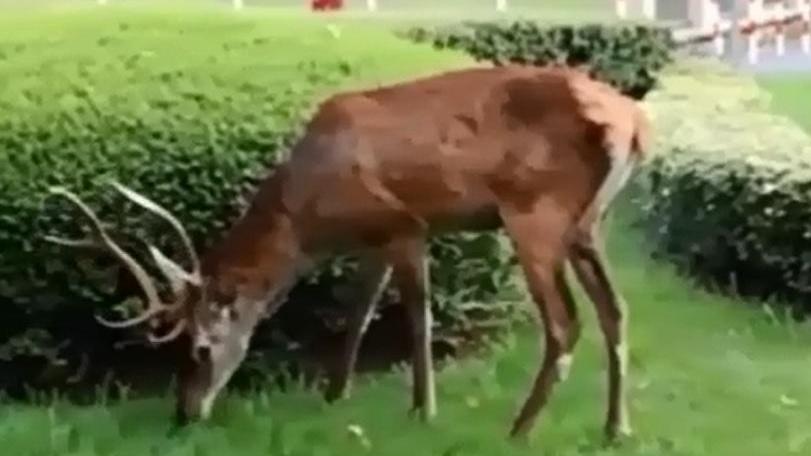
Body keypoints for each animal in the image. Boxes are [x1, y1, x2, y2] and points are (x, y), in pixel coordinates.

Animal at [45, 63, 651, 443]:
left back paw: (520, 429)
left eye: (198, 348)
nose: (184, 414)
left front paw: (422, 410)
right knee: (615, 310)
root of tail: (634, 123)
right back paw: (614, 427)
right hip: (589, 226)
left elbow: (416, 319)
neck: (308, 216)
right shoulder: (373, 239)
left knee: (565, 322)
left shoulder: (405, 223)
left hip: (535, 212)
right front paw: (336, 395)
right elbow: (358, 315)